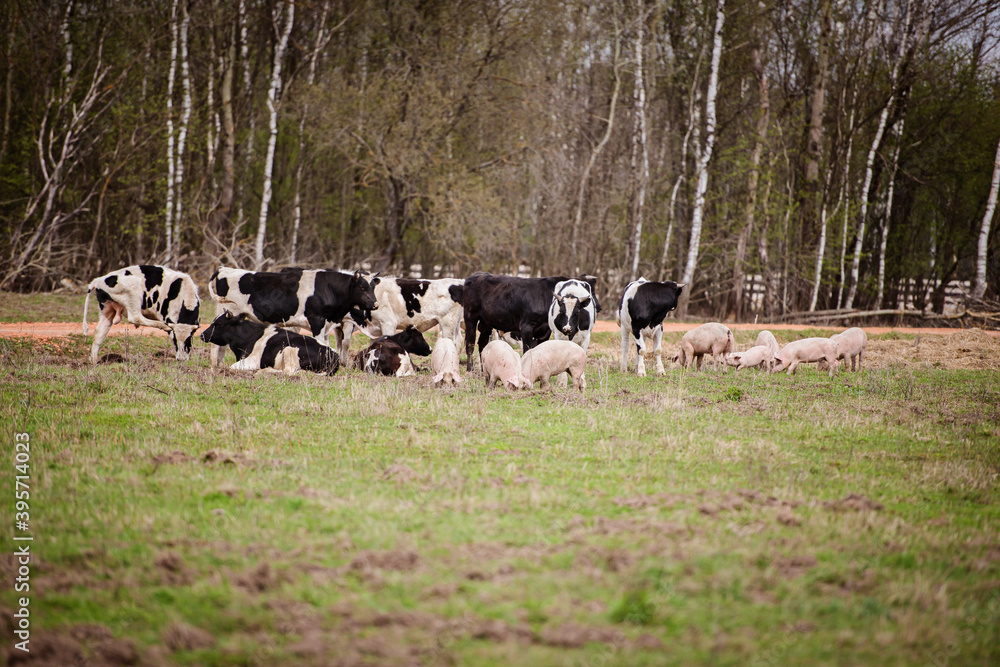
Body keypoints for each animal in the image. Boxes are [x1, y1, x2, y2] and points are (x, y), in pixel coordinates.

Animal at [199, 314, 340, 376]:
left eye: (219, 324)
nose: (202, 334)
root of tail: (334, 355)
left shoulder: (252, 360)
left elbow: (232, 367)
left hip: (289, 350)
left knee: (288, 372)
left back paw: (264, 370)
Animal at [205, 268, 376, 370]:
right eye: (362, 287)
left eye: (373, 287)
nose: (375, 304)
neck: (327, 288)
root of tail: (224, 269)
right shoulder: (317, 321)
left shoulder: (326, 326)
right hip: (226, 312)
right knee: (216, 344)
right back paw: (214, 366)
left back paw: (220, 366)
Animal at [464, 272, 596, 376]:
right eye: (562, 310)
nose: (598, 307)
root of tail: (475, 275)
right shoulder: (526, 327)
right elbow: (527, 350)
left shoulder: (544, 331)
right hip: (470, 317)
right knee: (470, 343)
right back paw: (470, 370)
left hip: (486, 322)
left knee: (482, 344)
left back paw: (483, 370)